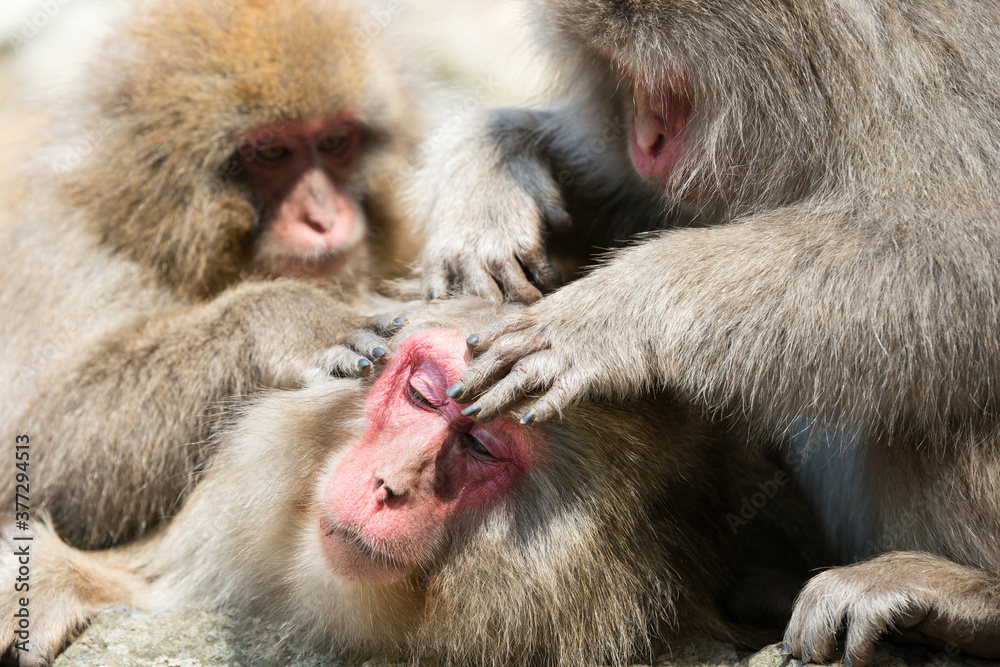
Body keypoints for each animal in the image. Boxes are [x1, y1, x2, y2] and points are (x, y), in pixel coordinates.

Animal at [0, 0, 422, 550]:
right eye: (272, 153)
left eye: (333, 141)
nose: (324, 218)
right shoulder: (68, 249)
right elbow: (42, 449)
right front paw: (287, 318)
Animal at [407, 0, 1000, 663]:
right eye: (619, 71)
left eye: (667, 85)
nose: (645, 138)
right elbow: (638, 200)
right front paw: (491, 168)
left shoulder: (920, 68)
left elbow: (949, 262)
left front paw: (611, 317)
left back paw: (963, 597)